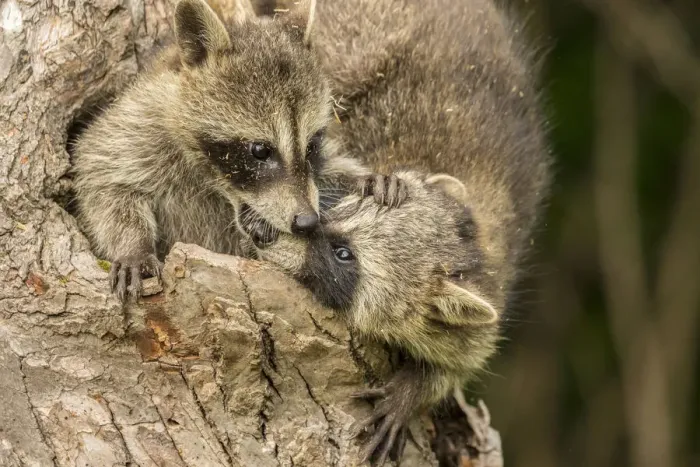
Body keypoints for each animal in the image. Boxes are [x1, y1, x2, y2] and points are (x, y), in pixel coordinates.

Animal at [72, 0, 370, 301]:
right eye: (260, 150)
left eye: (311, 146)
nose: (307, 221)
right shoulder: (135, 125)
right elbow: (104, 181)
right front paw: (133, 246)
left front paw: (351, 177)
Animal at [245, 0, 551, 463]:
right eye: (345, 208)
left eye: (344, 254)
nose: (266, 238)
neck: (475, 244)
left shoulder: (488, 296)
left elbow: (461, 360)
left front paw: (414, 390)